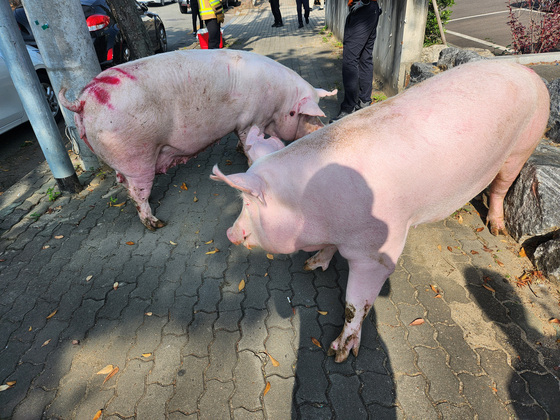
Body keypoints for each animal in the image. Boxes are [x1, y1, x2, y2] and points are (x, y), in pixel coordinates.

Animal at [58, 51, 334, 233]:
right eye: (305, 115)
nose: (324, 126)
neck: (279, 103)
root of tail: (83, 99)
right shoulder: (251, 119)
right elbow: (248, 142)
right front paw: (247, 157)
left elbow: (240, 140)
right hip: (136, 156)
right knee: (137, 193)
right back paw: (157, 224)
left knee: (125, 184)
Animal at [211, 60, 552, 362]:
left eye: (247, 203)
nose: (229, 231)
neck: (311, 205)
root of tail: (528, 72)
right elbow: (328, 251)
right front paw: (311, 265)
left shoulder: (378, 251)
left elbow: (356, 302)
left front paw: (339, 354)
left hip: (524, 145)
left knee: (502, 187)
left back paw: (497, 228)